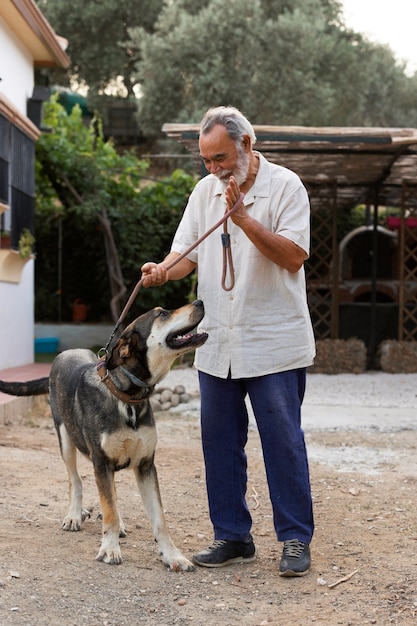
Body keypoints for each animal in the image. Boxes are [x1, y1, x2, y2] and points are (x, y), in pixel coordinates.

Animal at [0, 300, 208, 568]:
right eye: (161, 313)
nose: (200, 301)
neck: (127, 397)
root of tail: (67, 352)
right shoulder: (101, 461)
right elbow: (108, 509)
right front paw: (109, 548)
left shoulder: (146, 465)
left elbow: (158, 518)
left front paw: (172, 556)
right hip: (65, 440)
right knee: (75, 480)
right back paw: (74, 515)